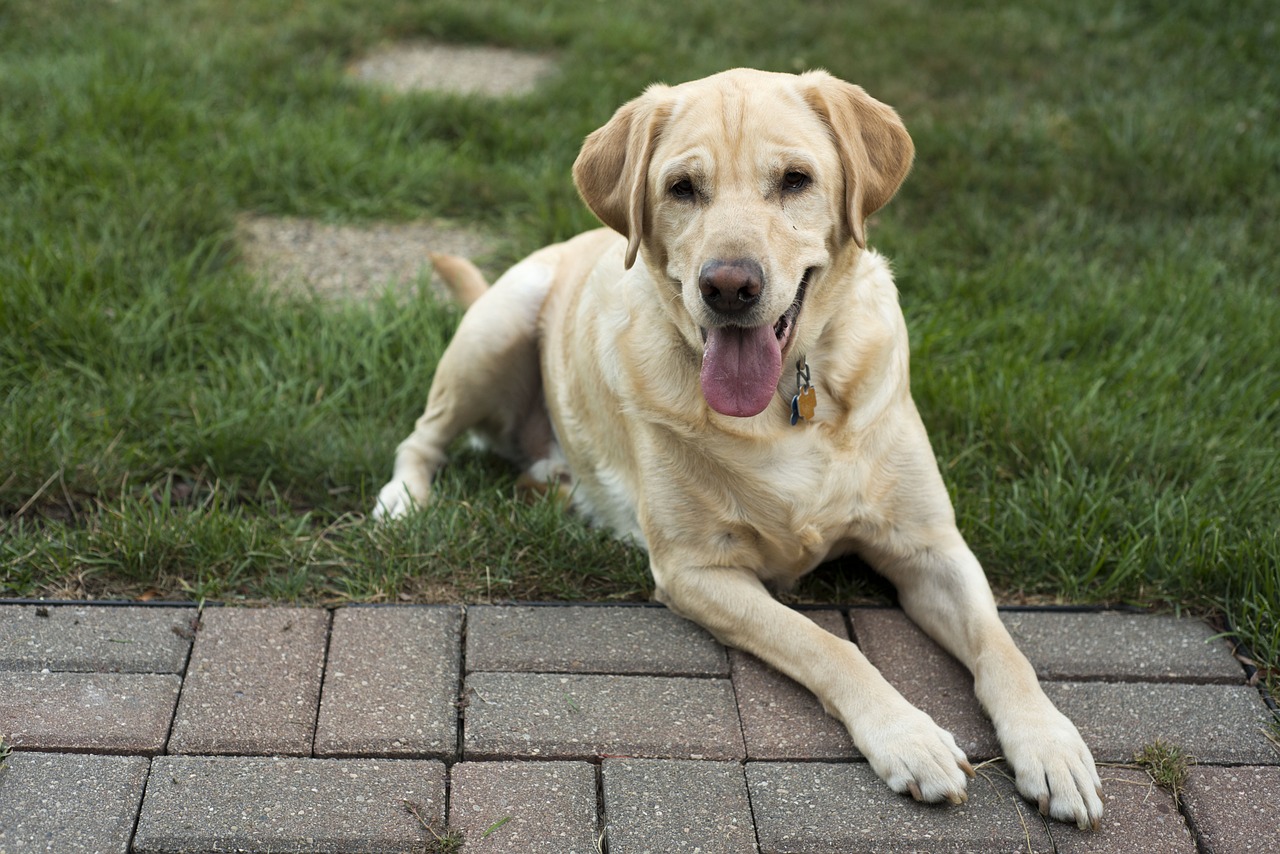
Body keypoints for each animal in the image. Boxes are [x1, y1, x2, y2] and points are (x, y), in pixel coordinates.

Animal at [373, 70, 1105, 829]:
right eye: (682, 188)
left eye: (795, 180)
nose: (728, 285)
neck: (788, 400)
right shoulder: (696, 571)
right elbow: (828, 644)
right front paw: (910, 738)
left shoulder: (931, 546)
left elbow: (1003, 647)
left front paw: (1050, 746)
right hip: (497, 327)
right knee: (422, 436)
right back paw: (403, 502)